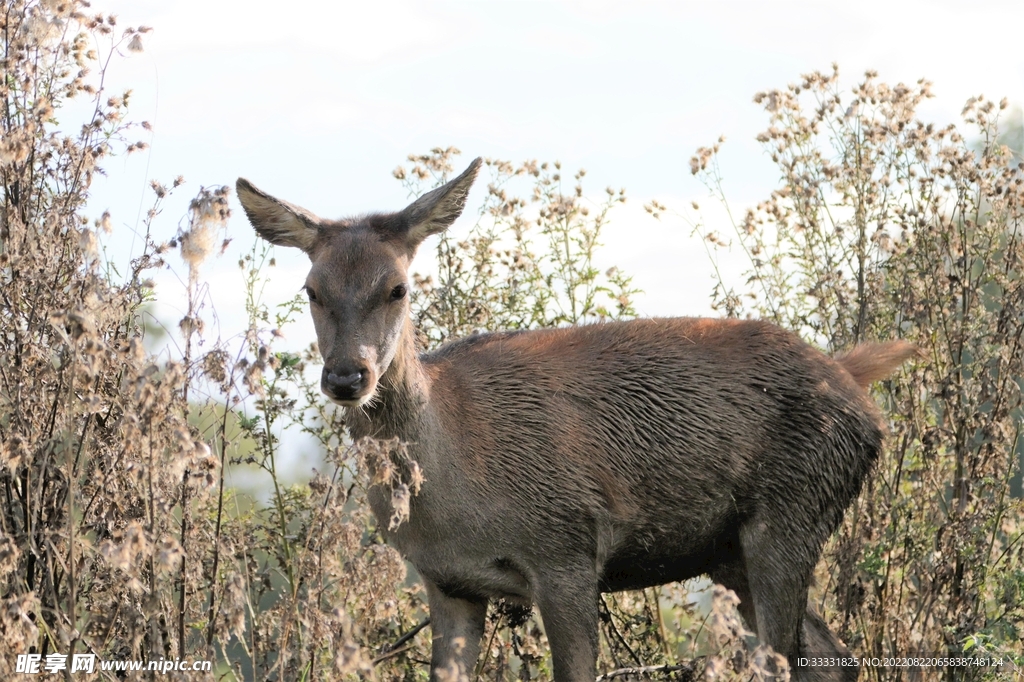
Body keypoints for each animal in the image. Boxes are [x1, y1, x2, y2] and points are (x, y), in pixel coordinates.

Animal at [236, 157, 916, 682]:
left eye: (398, 288)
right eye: (312, 290)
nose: (346, 377)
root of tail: (856, 388)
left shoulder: (565, 544)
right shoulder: (448, 581)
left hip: (793, 507)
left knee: (789, 660)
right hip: (732, 551)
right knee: (834, 658)